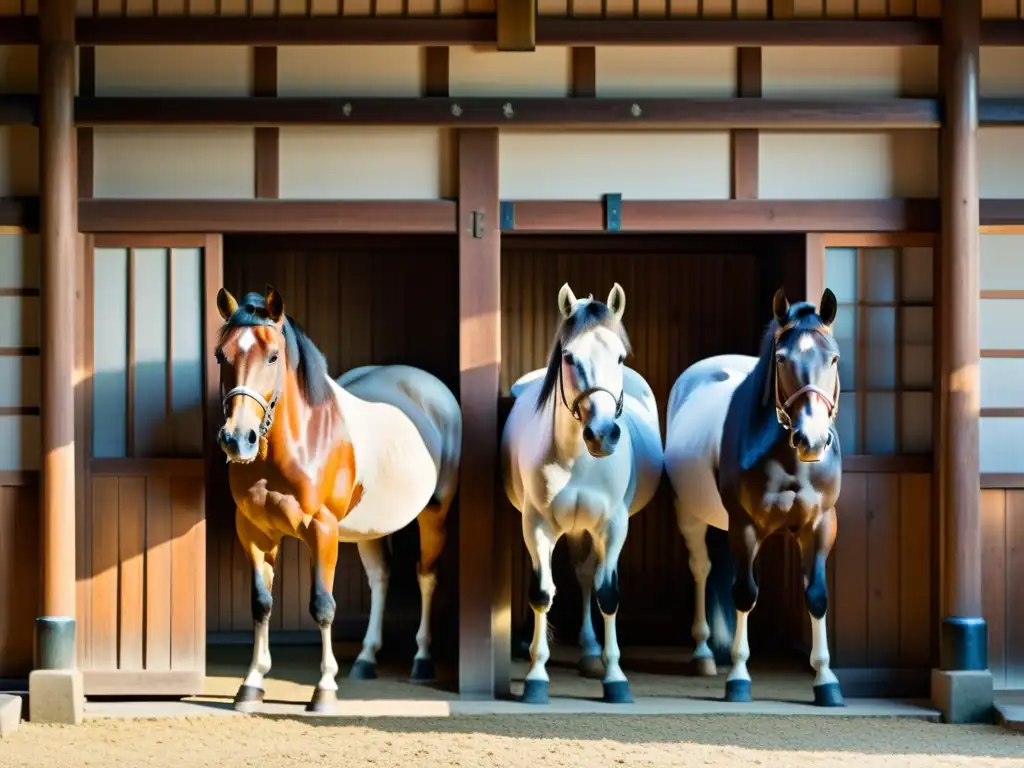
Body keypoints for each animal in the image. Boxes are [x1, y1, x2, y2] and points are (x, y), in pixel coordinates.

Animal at [216, 286, 460, 716]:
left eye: (273, 356)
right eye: (220, 355)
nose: (237, 438)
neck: (301, 441)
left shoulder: (322, 530)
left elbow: (323, 606)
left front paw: (325, 689)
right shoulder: (254, 532)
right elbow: (261, 603)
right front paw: (251, 683)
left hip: (435, 514)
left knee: (426, 577)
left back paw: (421, 660)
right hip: (371, 526)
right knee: (380, 578)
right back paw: (365, 659)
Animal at [501, 284, 663, 708]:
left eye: (619, 356)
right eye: (569, 357)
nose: (603, 434)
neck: (576, 458)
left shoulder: (613, 526)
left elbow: (607, 594)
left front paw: (615, 678)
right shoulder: (536, 524)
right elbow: (542, 593)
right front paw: (536, 676)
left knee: (589, 576)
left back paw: (591, 653)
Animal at [663, 290, 839, 708]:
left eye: (833, 358)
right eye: (782, 359)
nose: (812, 439)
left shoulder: (821, 525)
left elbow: (817, 596)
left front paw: (826, 681)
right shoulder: (743, 525)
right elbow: (744, 594)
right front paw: (739, 679)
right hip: (690, 513)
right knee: (702, 569)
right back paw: (704, 655)